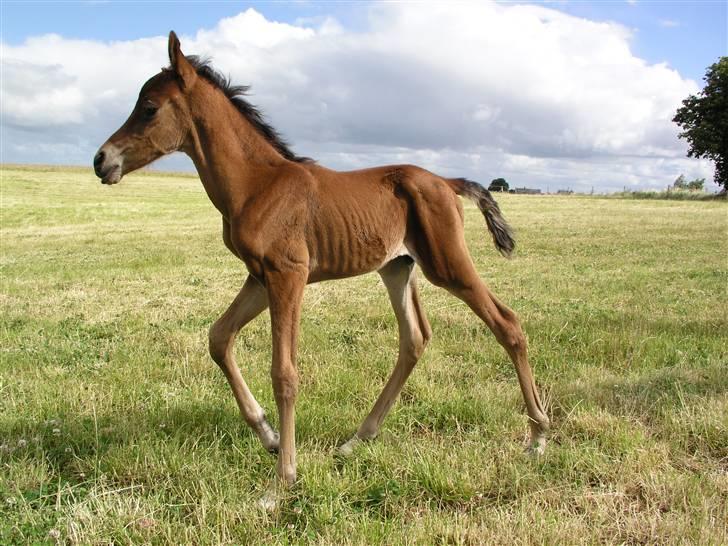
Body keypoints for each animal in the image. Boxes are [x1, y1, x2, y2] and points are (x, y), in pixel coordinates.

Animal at [95, 31, 552, 492]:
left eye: (149, 108)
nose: (101, 160)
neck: (256, 184)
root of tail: (445, 180)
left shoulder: (289, 274)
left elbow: (284, 373)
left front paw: (282, 480)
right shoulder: (260, 277)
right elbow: (218, 338)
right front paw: (269, 436)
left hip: (447, 265)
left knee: (507, 324)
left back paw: (538, 436)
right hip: (398, 267)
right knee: (415, 339)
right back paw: (357, 439)